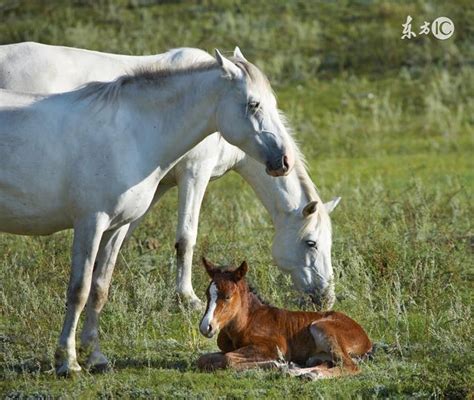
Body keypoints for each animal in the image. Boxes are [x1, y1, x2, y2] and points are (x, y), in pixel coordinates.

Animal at [0, 47, 294, 376]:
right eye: (253, 104)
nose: (283, 160)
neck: (130, 136)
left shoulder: (115, 228)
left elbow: (99, 289)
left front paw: (96, 357)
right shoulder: (90, 224)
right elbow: (79, 290)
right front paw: (68, 361)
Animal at [198, 258, 372, 376]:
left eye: (227, 296)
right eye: (207, 294)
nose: (206, 327)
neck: (245, 322)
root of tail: (366, 339)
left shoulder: (274, 346)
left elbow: (228, 359)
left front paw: (275, 363)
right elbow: (203, 359)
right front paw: (280, 365)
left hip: (321, 326)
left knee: (350, 366)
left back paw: (308, 374)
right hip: (317, 356)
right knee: (326, 363)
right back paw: (297, 372)